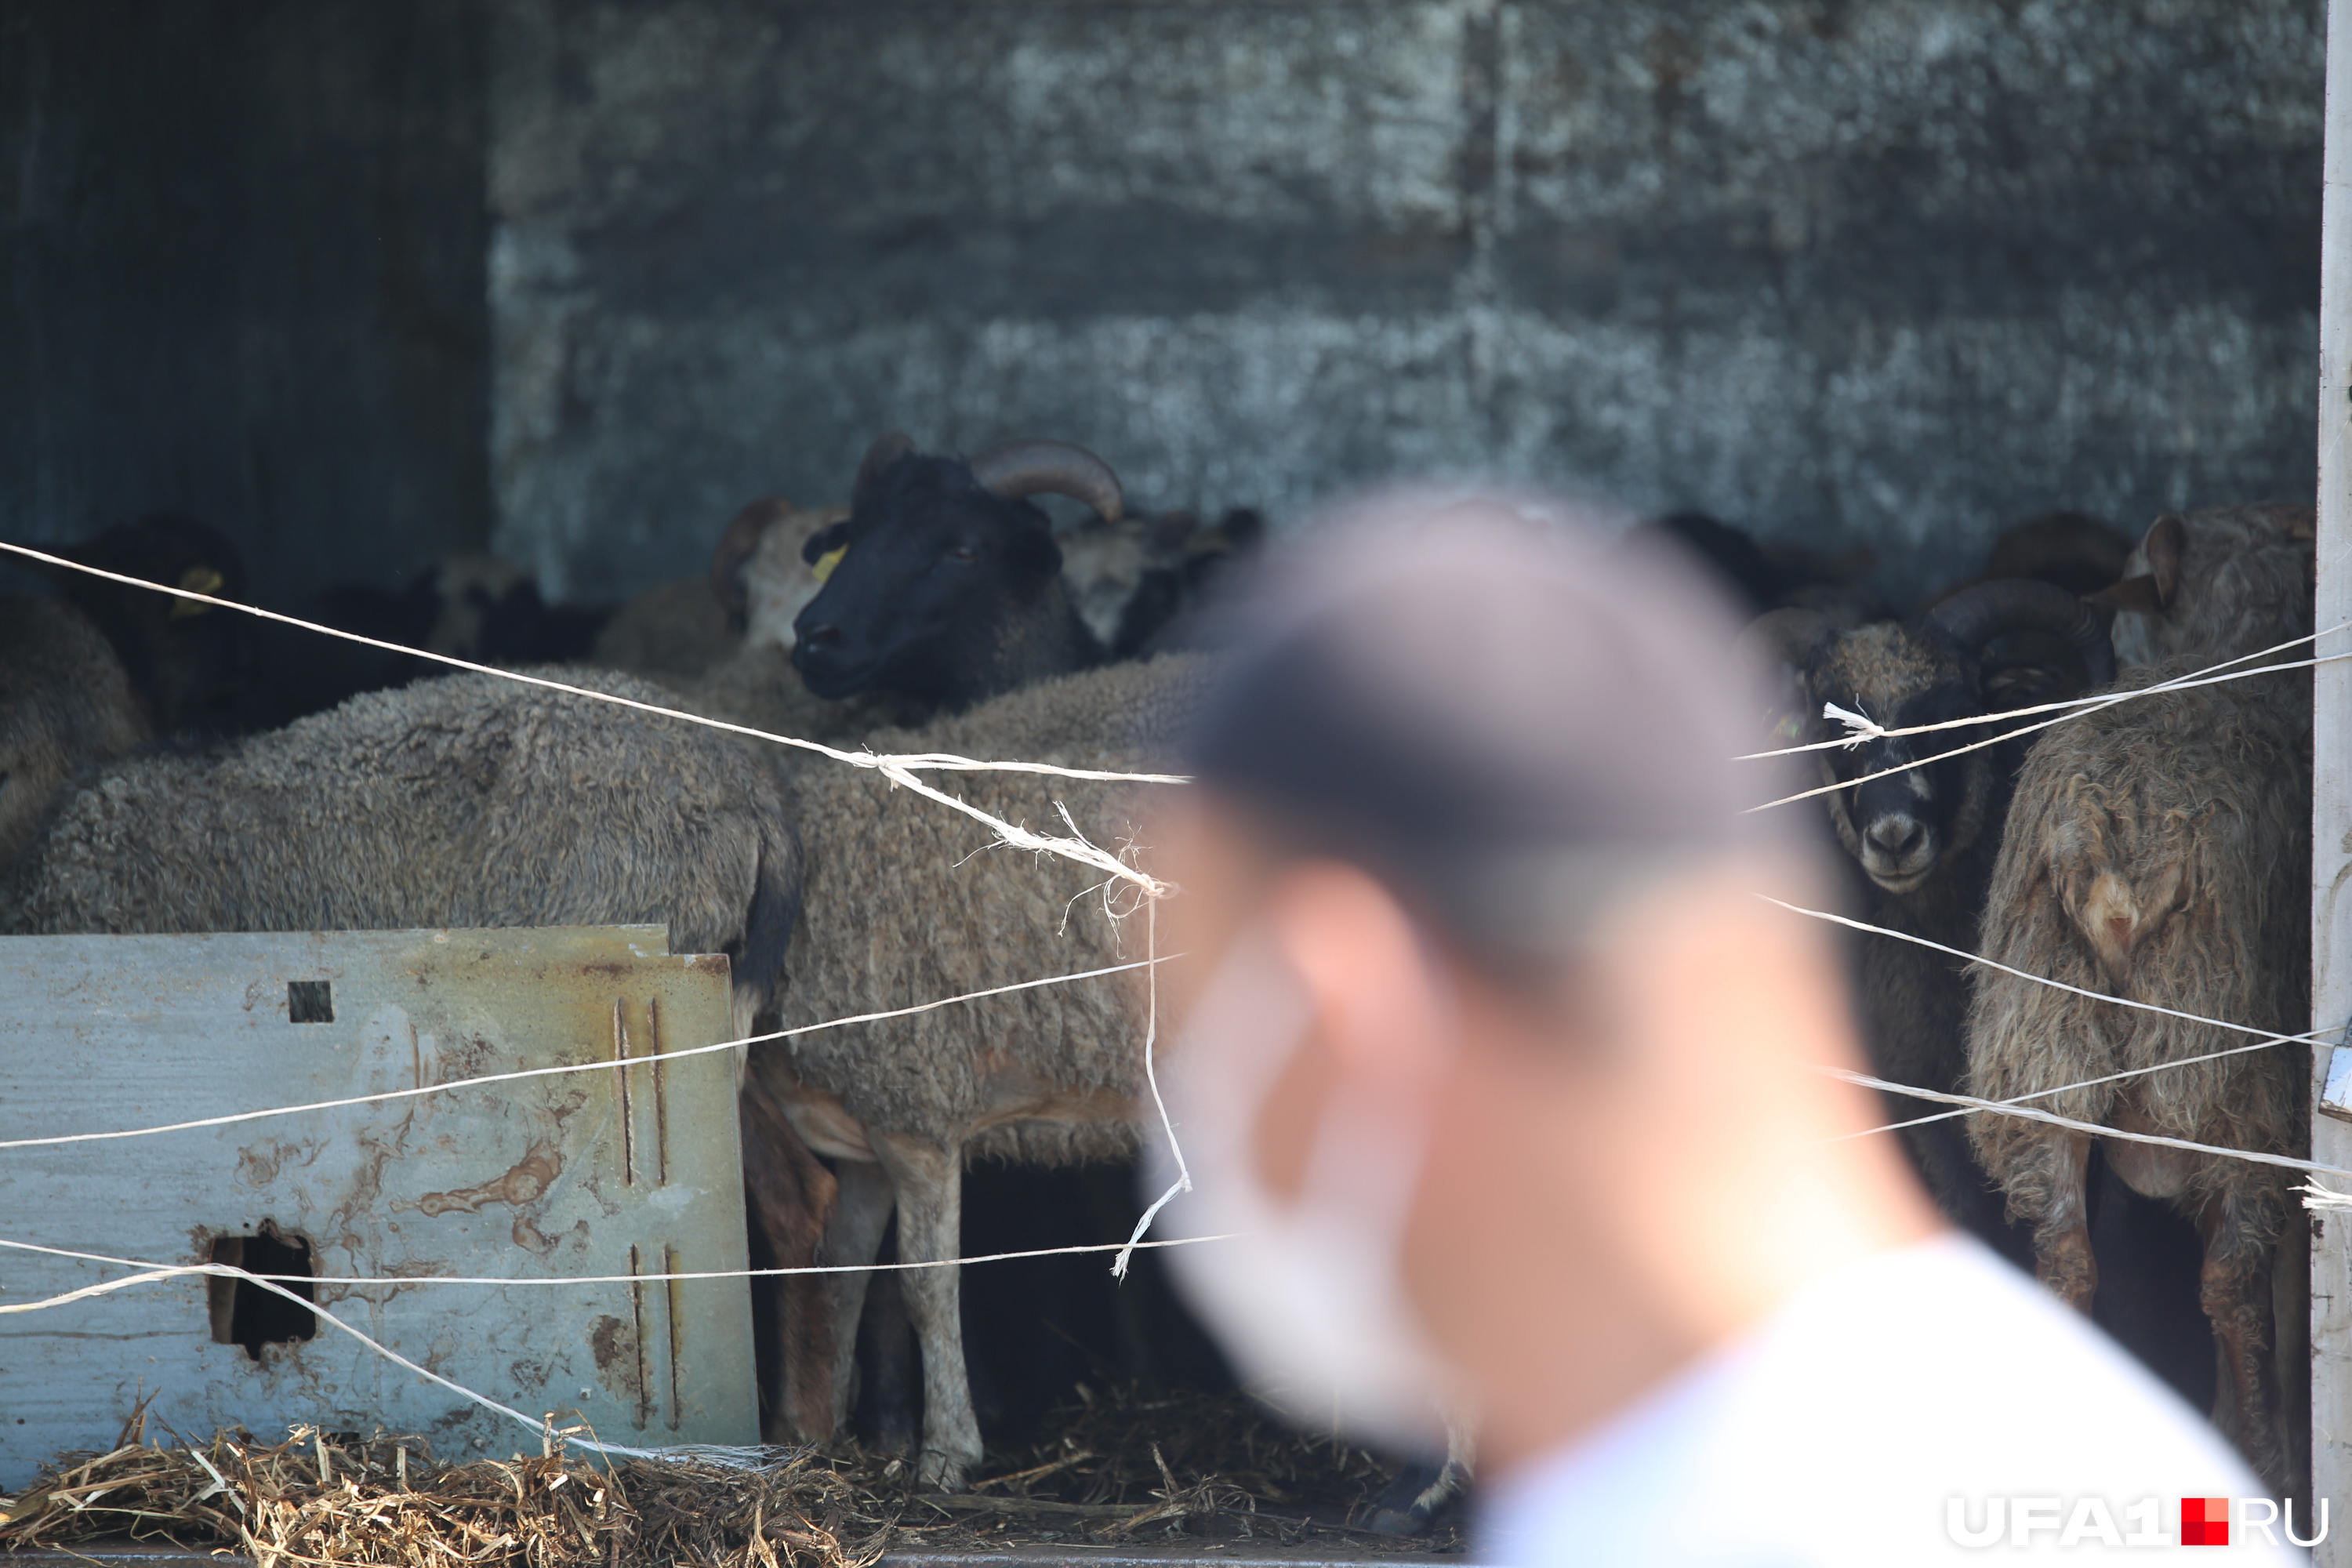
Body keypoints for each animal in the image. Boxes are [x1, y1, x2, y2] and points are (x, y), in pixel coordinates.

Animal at [748, 658, 1214, 1495]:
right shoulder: (866, 1132)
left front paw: (945, 1453)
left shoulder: (917, 1108)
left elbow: (926, 1285)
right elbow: (843, 1272)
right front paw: (822, 1433)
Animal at [1966, 658, 2314, 1486]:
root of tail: (2114, 840)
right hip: (2225, 1064)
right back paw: (2265, 1468)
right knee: (2230, 1281)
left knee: (2066, 1260)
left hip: (2038, 1036)